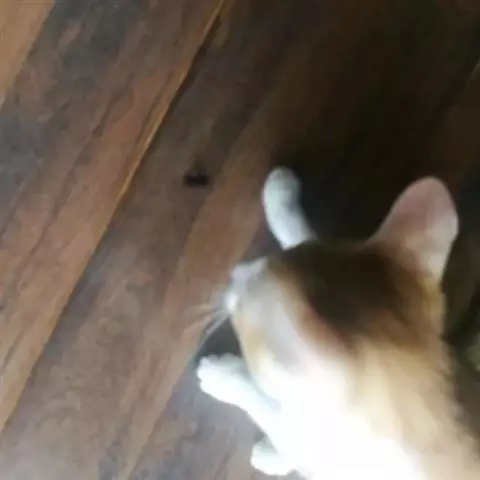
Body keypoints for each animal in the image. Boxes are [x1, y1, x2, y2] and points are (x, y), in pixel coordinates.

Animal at [196, 168, 480, 479]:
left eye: (238, 310)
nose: (235, 273)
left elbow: (271, 409)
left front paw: (223, 376)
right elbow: (305, 235)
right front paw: (282, 199)